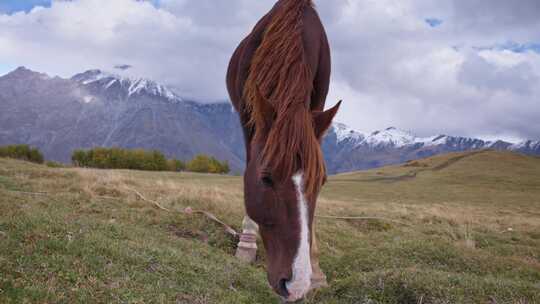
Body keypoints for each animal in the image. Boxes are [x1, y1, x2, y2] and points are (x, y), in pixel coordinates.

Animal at [226, 0, 340, 300]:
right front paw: (247, 243)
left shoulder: (316, 109)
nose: (295, 284)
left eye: (322, 182)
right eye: (265, 178)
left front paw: (315, 270)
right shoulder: (248, 115)